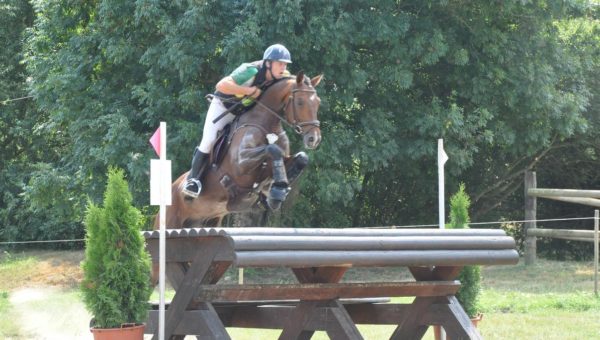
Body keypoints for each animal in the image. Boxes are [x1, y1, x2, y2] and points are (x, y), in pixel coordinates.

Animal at [155, 71, 324, 231]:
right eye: (300, 102)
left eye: (318, 102)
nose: (314, 139)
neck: (266, 124)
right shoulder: (241, 164)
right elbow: (272, 149)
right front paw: (277, 191)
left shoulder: (280, 160)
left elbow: (301, 157)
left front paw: (277, 190)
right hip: (170, 221)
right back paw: (191, 187)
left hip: (208, 221)